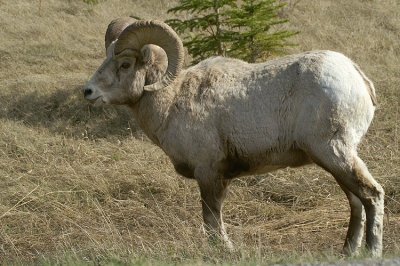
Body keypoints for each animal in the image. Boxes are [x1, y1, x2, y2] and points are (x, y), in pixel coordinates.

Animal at [83, 19, 384, 256]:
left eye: (125, 64)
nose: (88, 91)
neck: (172, 101)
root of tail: (358, 78)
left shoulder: (209, 174)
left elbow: (212, 219)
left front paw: (223, 249)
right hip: (335, 159)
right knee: (356, 201)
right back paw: (347, 252)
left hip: (335, 152)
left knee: (372, 195)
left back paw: (372, 251)